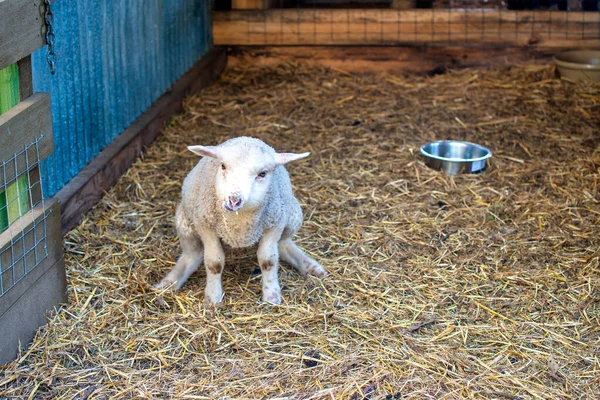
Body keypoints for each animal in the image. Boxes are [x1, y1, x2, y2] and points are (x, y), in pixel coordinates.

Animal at [152, 136, 326, 304]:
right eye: (222, 166)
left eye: (262, 173)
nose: (234, 200)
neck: (239, 222)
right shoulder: (205, 224)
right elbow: (214, 262)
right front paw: (212, 297)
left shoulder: (275, 224)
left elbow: (268, 261)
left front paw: (272, 295)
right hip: (185, 222)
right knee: (192, 255)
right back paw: (169, 283)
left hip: (293, 216)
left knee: (283, 244)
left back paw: (311, 267)